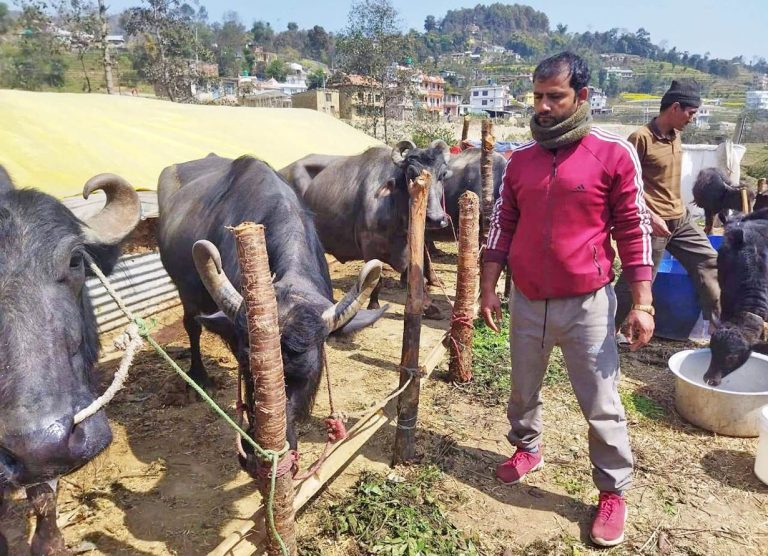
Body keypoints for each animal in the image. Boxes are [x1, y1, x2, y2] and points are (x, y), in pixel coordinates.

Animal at [156, 154, 384, 450]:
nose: (258, 451)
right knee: (192, 326)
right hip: (184, 291)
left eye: (307, 371)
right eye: (247, 366)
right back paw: (200, 378)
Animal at [280, 140, 450, 312]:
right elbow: (377, 281)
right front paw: (374, 305)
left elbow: (417, 278)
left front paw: (429, 306)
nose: (435, 218)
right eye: (411, 173)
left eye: (442, 174)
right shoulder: (370, 249)